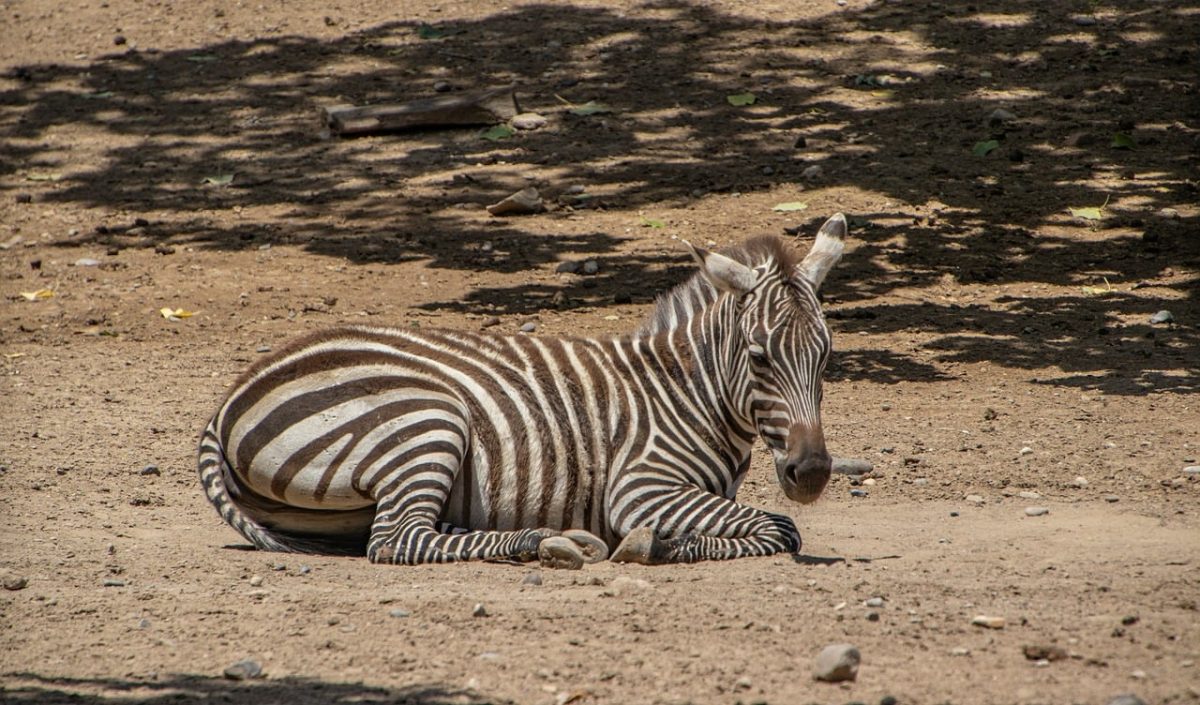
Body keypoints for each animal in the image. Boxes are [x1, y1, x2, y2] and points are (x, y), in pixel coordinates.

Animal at [197, 213, 847, 566]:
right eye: (759, 356)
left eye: (827, 357)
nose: (813, 472)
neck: (685, 391)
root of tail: (231, 398)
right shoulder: (640, 486)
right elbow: (779, 528)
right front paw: (652, 545)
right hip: (426, 420)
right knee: (399, 539)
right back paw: (543, 542)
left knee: (410, 531)